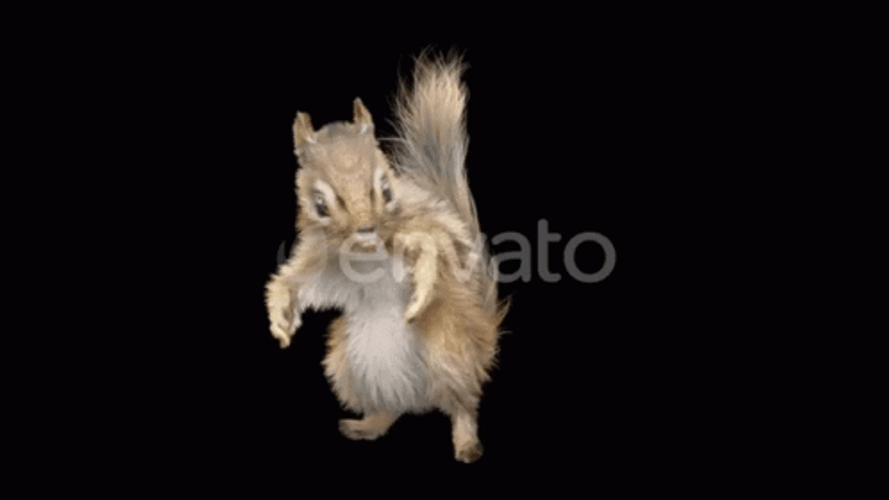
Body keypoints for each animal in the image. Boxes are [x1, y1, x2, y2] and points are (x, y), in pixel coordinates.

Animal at [265, 53, 507, 463]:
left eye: (387, 189)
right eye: (319, 204)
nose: (365, 229)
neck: (366, 253)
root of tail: (419, 398)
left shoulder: (430, 227)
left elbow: (435, 253)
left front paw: (418, 299)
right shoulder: (325, 261)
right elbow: (298, 281)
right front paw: (281, 320)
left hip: (449, 349)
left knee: (461, 405)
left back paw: (466, 443)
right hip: (345, 364)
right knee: (388, 409)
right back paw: (367, 425)